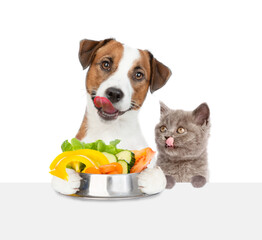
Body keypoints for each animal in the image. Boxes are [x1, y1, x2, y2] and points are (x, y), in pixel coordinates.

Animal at [52, 38, 173, 195]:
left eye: (138, 75)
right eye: (106, 64)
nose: (114, 93)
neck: (109, 129)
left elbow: (160, 176)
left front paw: (151, 177)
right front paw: (67, 176)